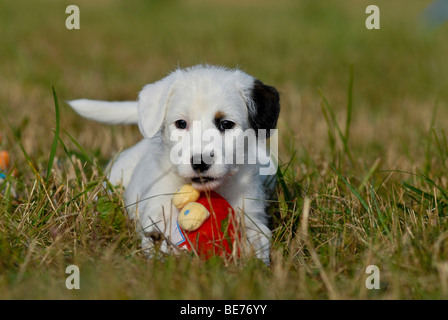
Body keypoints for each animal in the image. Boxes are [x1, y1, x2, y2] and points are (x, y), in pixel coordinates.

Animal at [68, 65, 280, 264]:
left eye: (226, 124)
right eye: (181, 123)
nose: (200, 162)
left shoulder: (251, 211)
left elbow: (259, 236)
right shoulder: (157, 206)